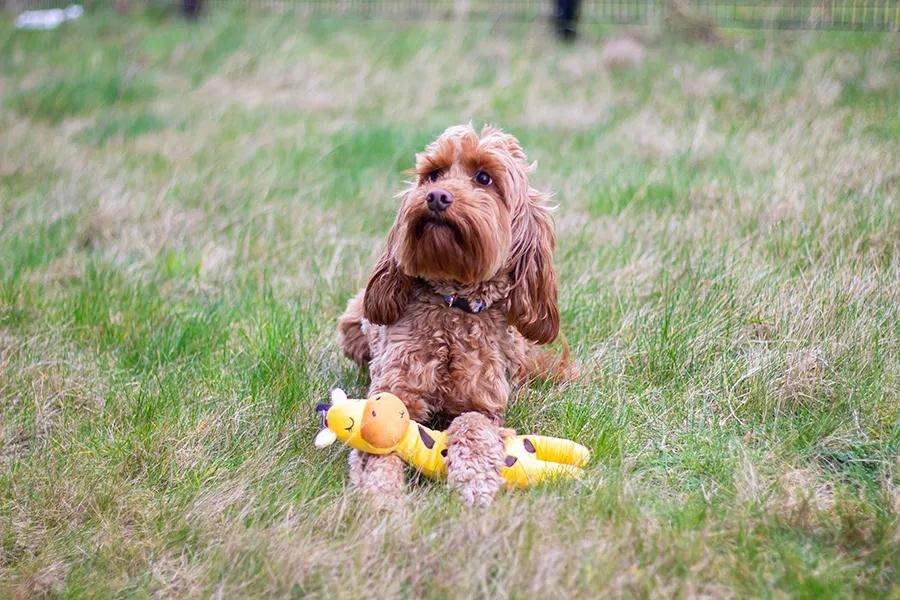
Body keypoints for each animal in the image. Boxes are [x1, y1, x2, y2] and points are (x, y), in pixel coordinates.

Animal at [340, 124, 568, 504]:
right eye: (433, 174)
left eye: (484, 178)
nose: (436, 196)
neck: (453, 307)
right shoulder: (394, 393)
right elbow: (380, 442)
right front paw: (381, 492)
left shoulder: (483, 405)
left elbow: (472, 426)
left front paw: (474, 478)